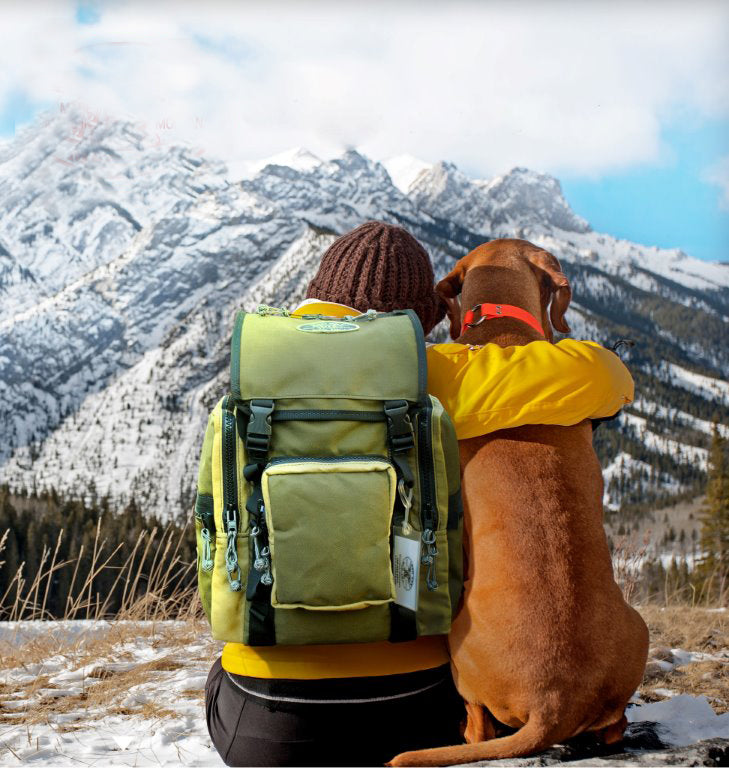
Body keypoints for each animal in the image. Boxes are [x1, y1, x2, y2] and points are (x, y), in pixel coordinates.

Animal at [390, 237, 644, 764]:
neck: (501, 326)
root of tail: (554, 704)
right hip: (640, 629)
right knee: (615, 725)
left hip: (457, 644)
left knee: (478, 723)